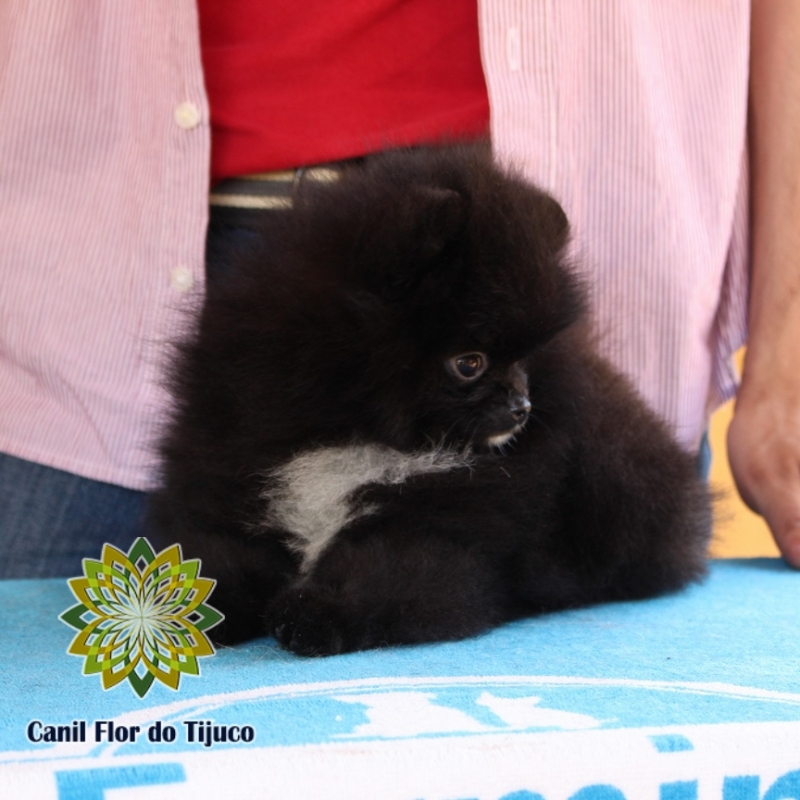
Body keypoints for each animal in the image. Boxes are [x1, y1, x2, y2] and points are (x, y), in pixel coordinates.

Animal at [150, 145, 712, 656]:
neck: (357, 431)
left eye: (524, 360)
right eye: (470, 362)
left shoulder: (445, 529)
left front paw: (315, 612)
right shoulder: (242, 469)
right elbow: (214, 556)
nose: (522, 407)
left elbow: (383, 574)